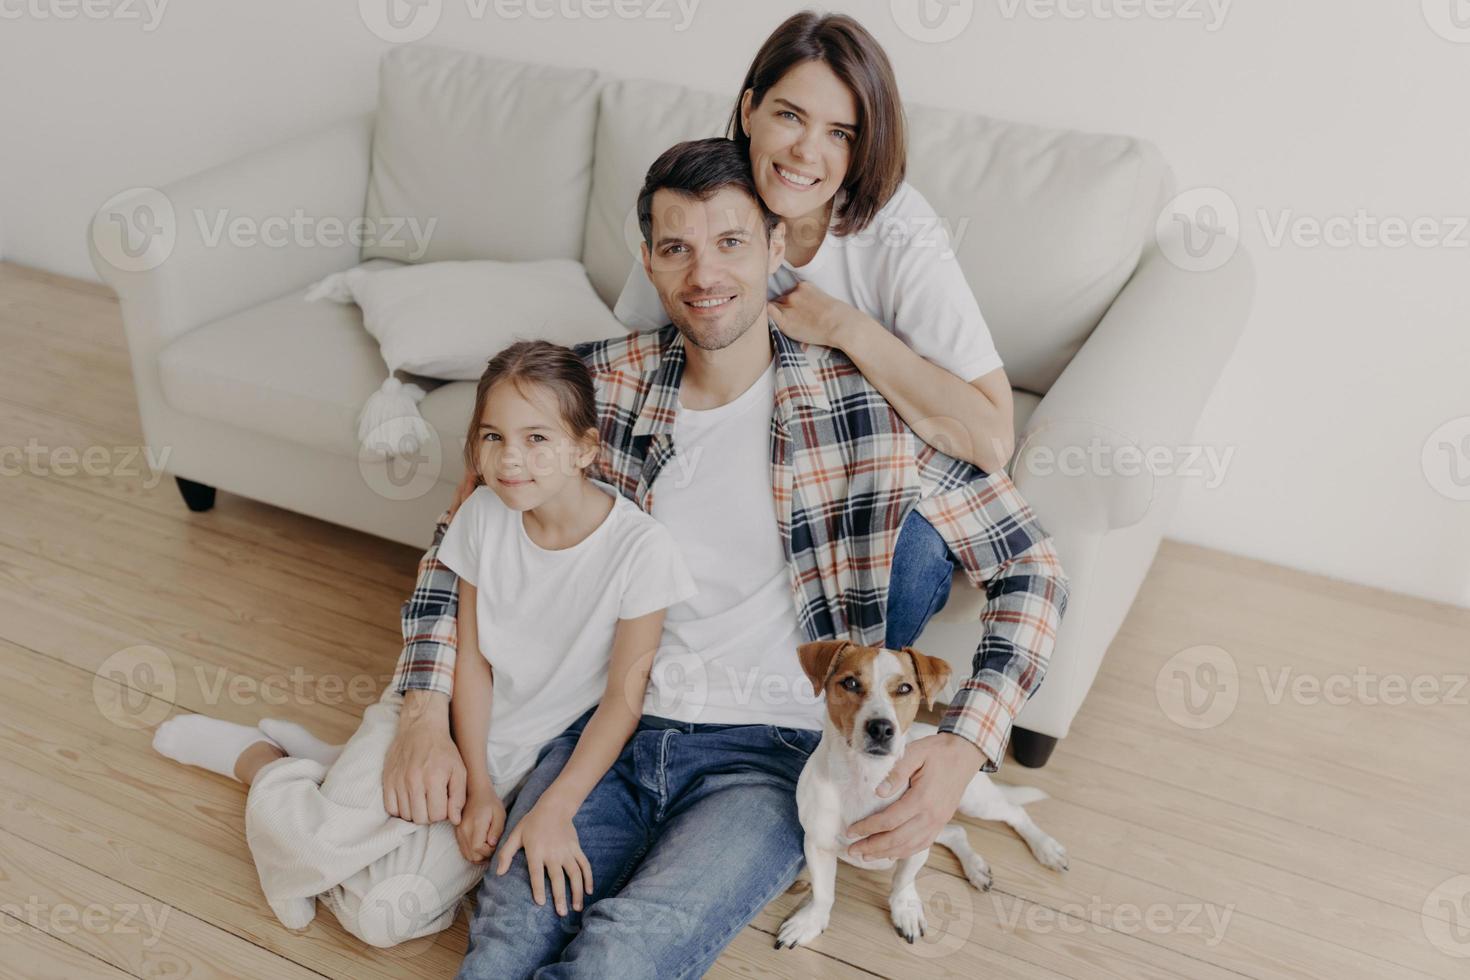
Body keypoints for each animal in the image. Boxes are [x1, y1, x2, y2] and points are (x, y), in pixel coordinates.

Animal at [782, 640, 1070, 946]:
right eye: (850, 683)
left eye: (905, 688)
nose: (881, 728)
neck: (865, 777)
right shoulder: (818, 844)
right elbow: (823, 893)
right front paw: (810, 922)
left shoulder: (914, 841)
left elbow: (903, 882)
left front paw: (905, 910)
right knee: (957, 831)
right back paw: (975, 866)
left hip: (973, 802)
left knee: (1015, 812)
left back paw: (1046, 848)